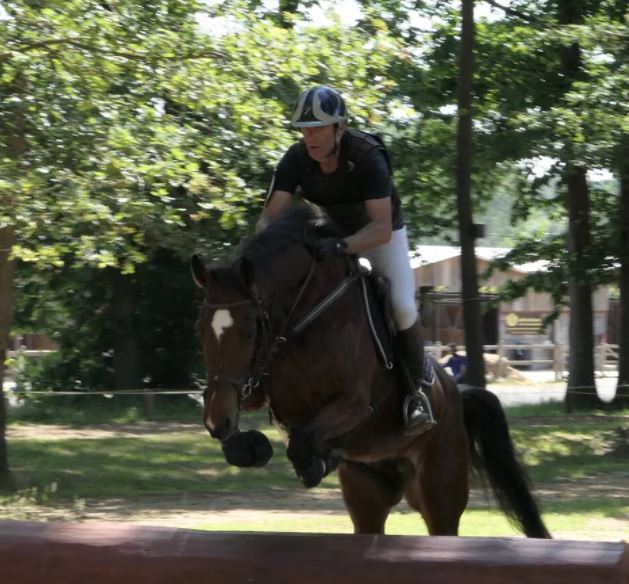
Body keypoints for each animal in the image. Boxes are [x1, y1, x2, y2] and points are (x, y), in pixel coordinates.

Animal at [191, 206, 548, 540]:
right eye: (201, 329)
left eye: (250, 331)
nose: (215, 420)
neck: (304, 316)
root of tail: (456, 395)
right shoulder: (269, 397)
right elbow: (253, 439)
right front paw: (253, 446)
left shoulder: (355, 403)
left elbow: (303, 443)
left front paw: (318, 462)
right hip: (369, 493)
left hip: (440, 488)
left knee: (442, 523)